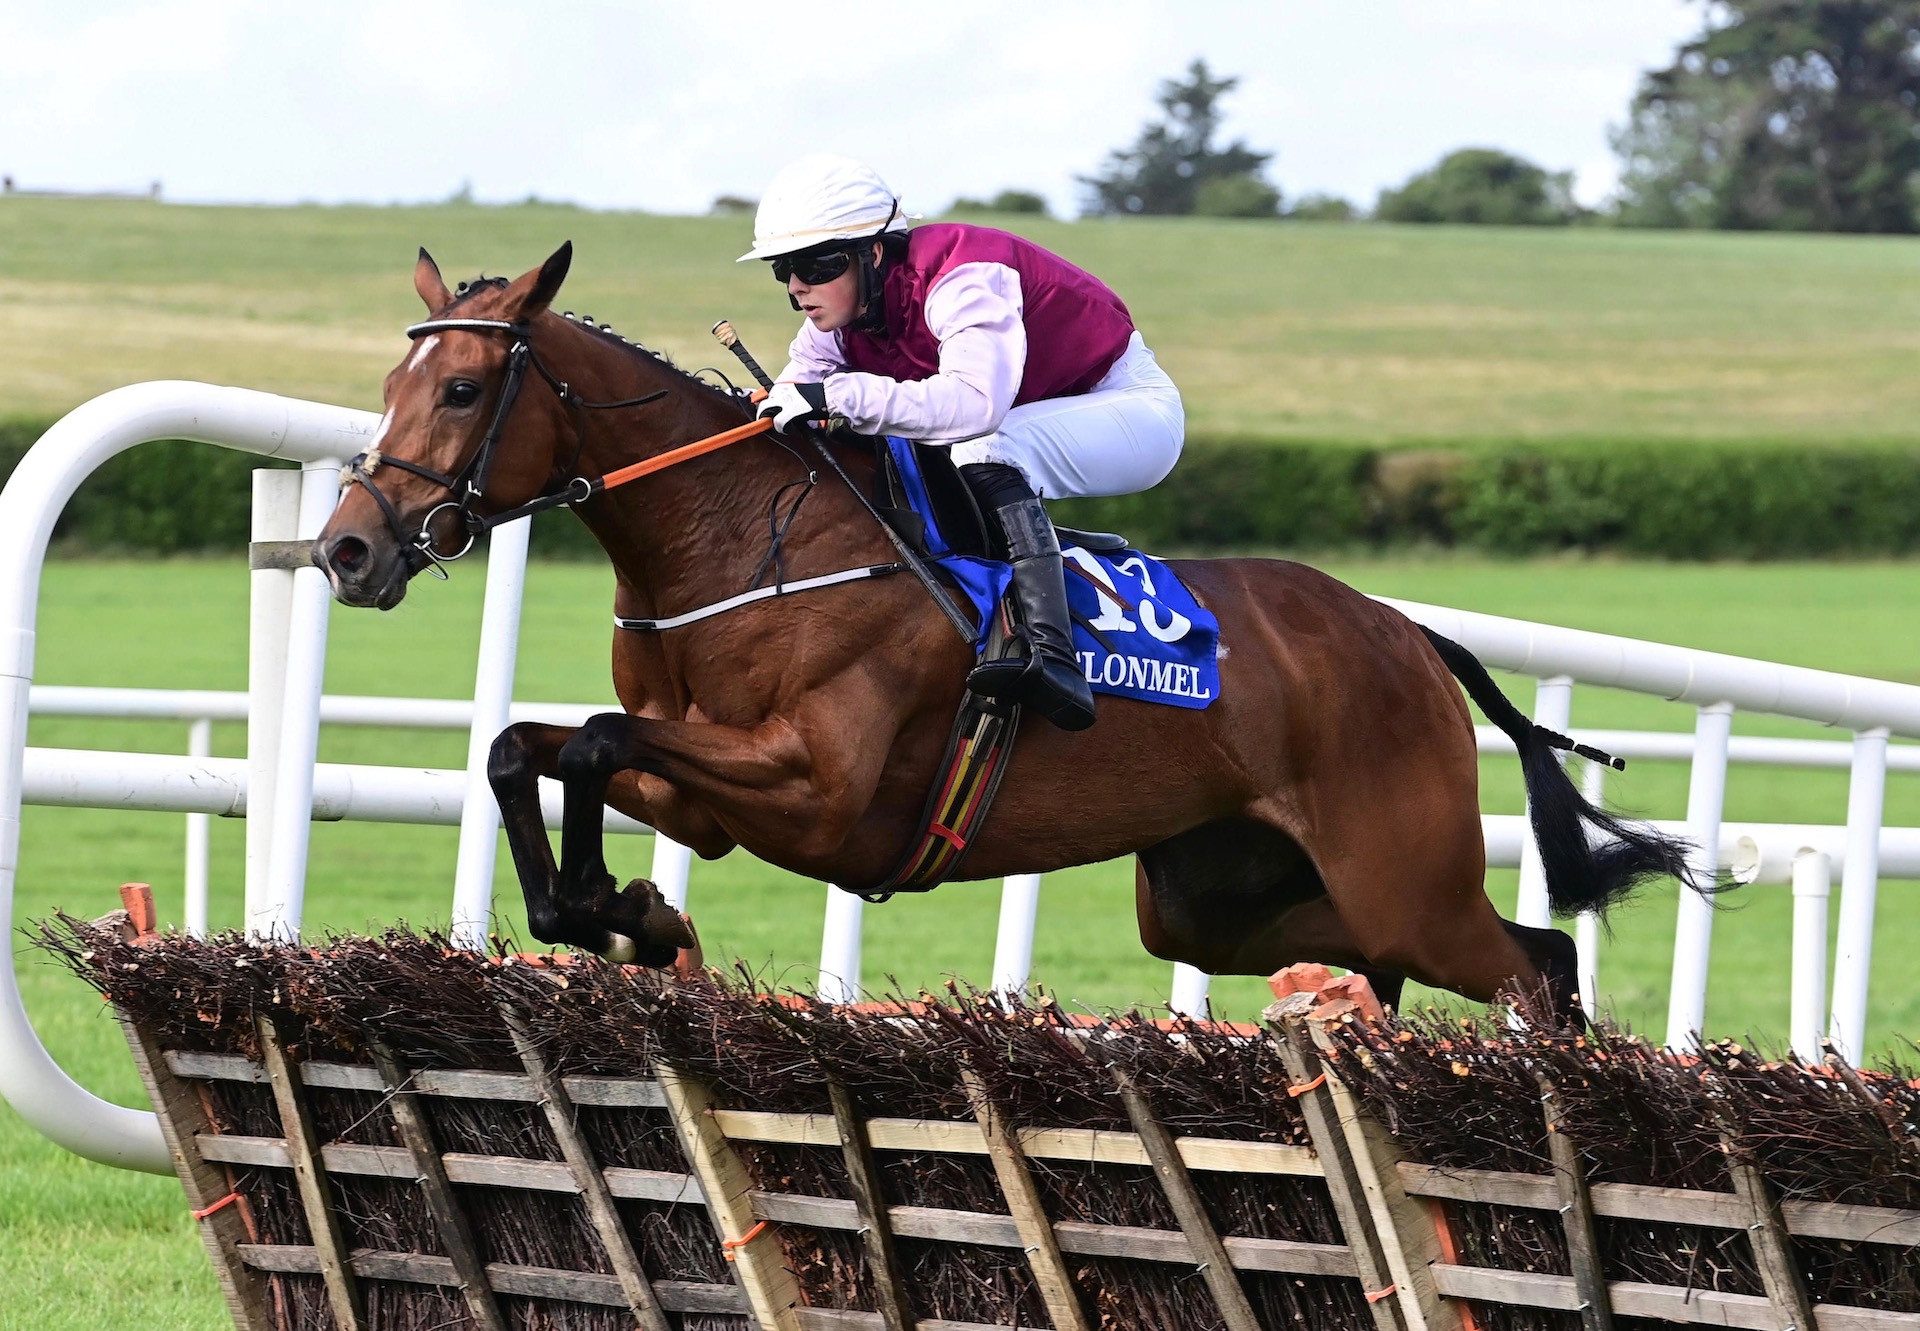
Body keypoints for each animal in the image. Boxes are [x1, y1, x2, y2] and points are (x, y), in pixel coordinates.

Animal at [314, 243, 1697, 1021]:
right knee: (1418, 958)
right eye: (387, 384)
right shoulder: (706, 787)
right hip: (1216, 899)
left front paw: (608, 902)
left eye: (462, 387)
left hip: (1401, 872)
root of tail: (1407, 634)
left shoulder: (816, 784)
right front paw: (615, 912)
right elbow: (530, 747)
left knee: (1537, 964)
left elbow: (596, 738)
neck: (740, 535)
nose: (349, 547)